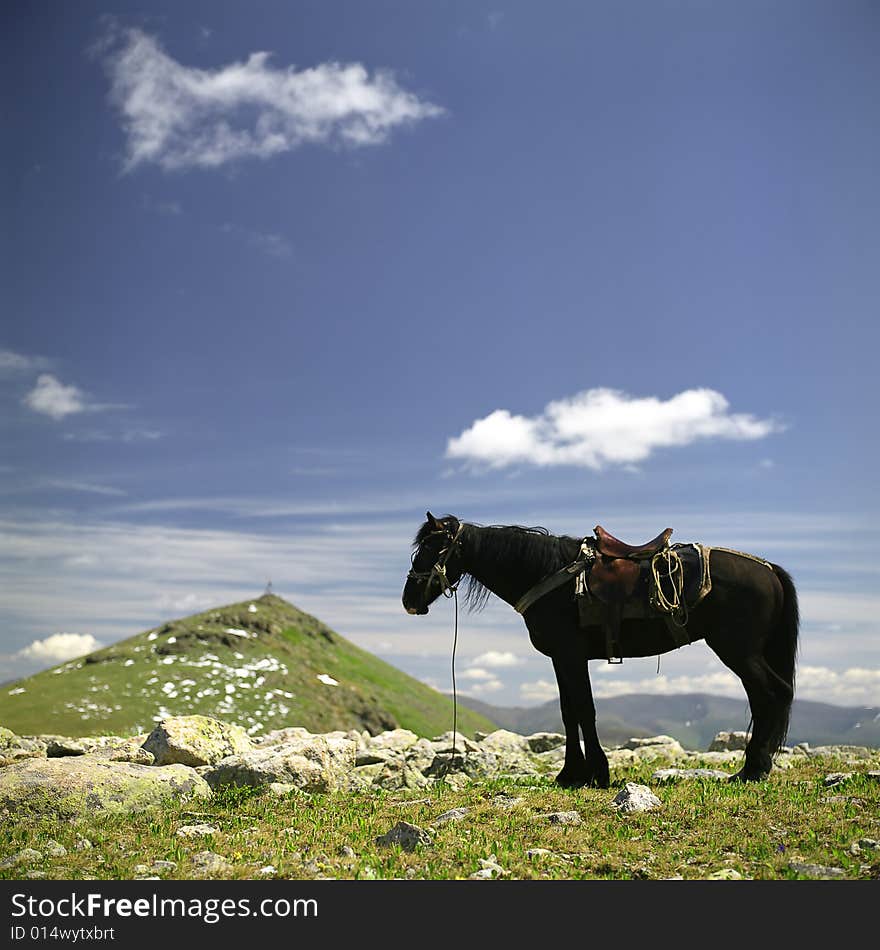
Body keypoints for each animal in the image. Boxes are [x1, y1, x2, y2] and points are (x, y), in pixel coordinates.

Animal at [402, 512, 800, 788]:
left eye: (432, 548)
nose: (409, 601)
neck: (546, 574)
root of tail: (769, 569)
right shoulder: (563, 659)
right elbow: (569, 713)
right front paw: (572, 773)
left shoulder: (570, 656)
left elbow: (583, 711)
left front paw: (594, 772)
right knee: (766, 697)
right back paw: (754, 766)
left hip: (738, 651)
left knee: (771, 694)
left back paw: (753, 769)